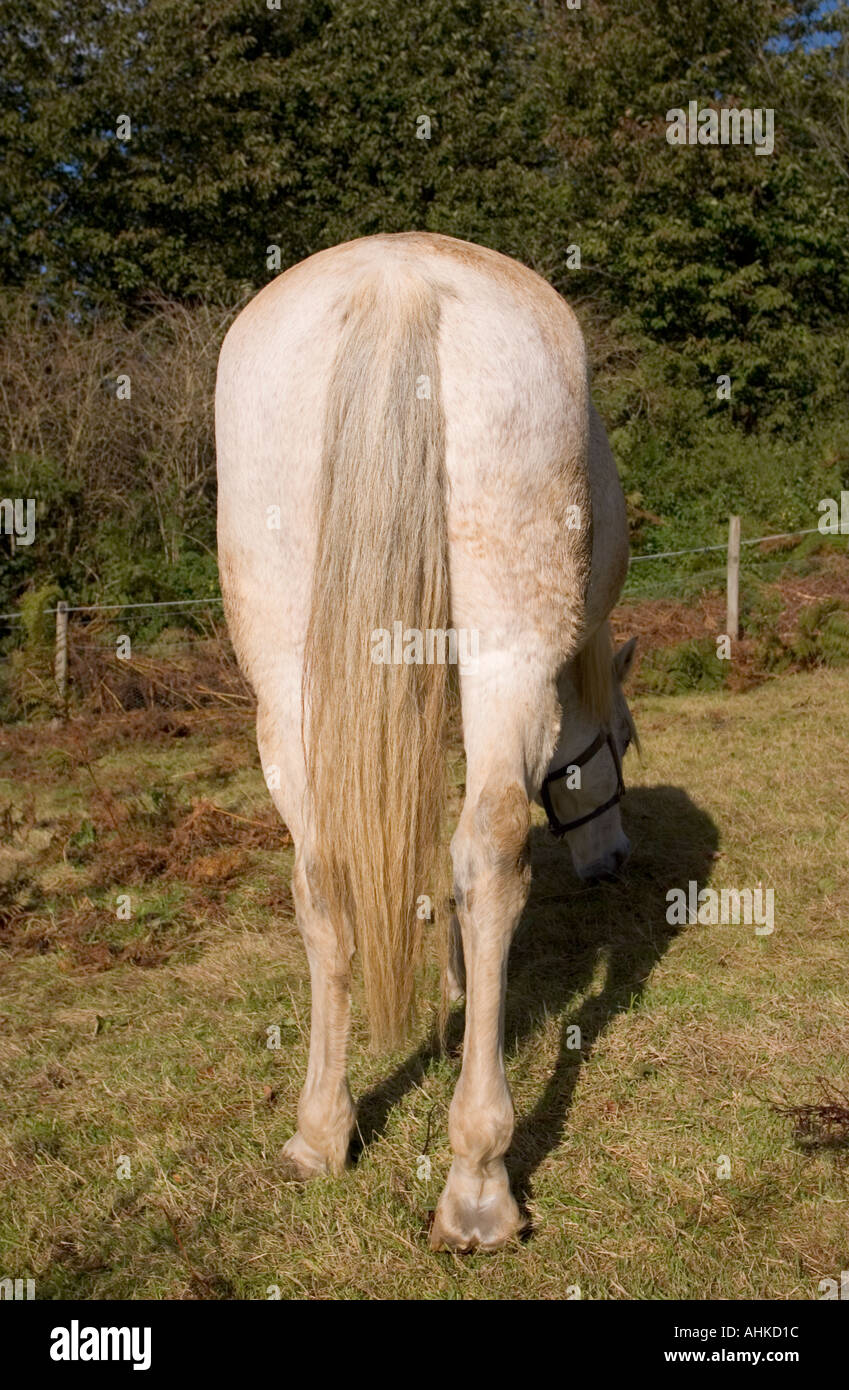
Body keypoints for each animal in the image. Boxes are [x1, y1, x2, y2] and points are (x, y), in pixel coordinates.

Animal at [215, 231, 638, 1252]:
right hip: (506, 641)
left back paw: (320, 1132)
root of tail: (397, 275)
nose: (614, 860)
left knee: (321, 874)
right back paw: (479, 1180)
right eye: (621, 738)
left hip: (287, 670)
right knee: (491, 849)